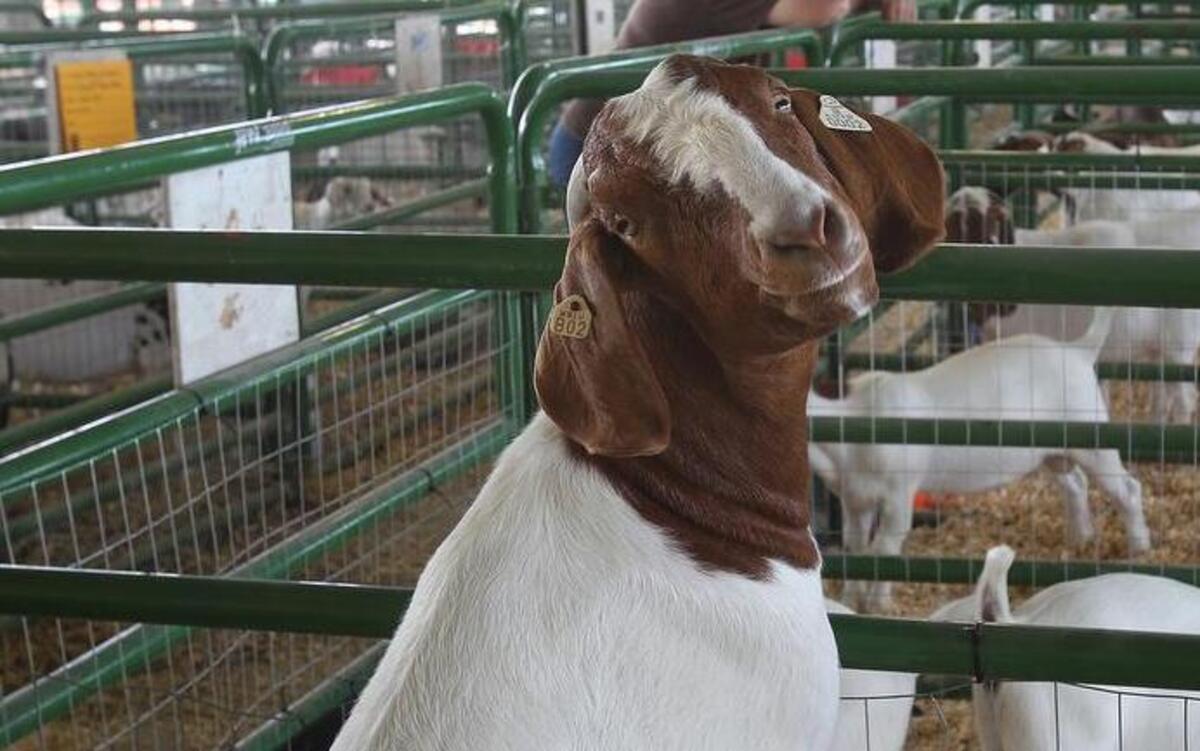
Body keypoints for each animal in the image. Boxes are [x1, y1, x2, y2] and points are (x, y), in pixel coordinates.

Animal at [808, 307, 1150, 614]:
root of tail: (1077, 350)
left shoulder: (898, 492)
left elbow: (886, 548)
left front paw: (878, 604)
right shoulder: (854, 499)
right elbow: (856, 548)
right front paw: (850, 599)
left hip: (1093, 438)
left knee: (1128, 489)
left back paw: (1139, 548)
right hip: (1051, 452)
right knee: (1076, 483)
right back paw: (1079, 539)